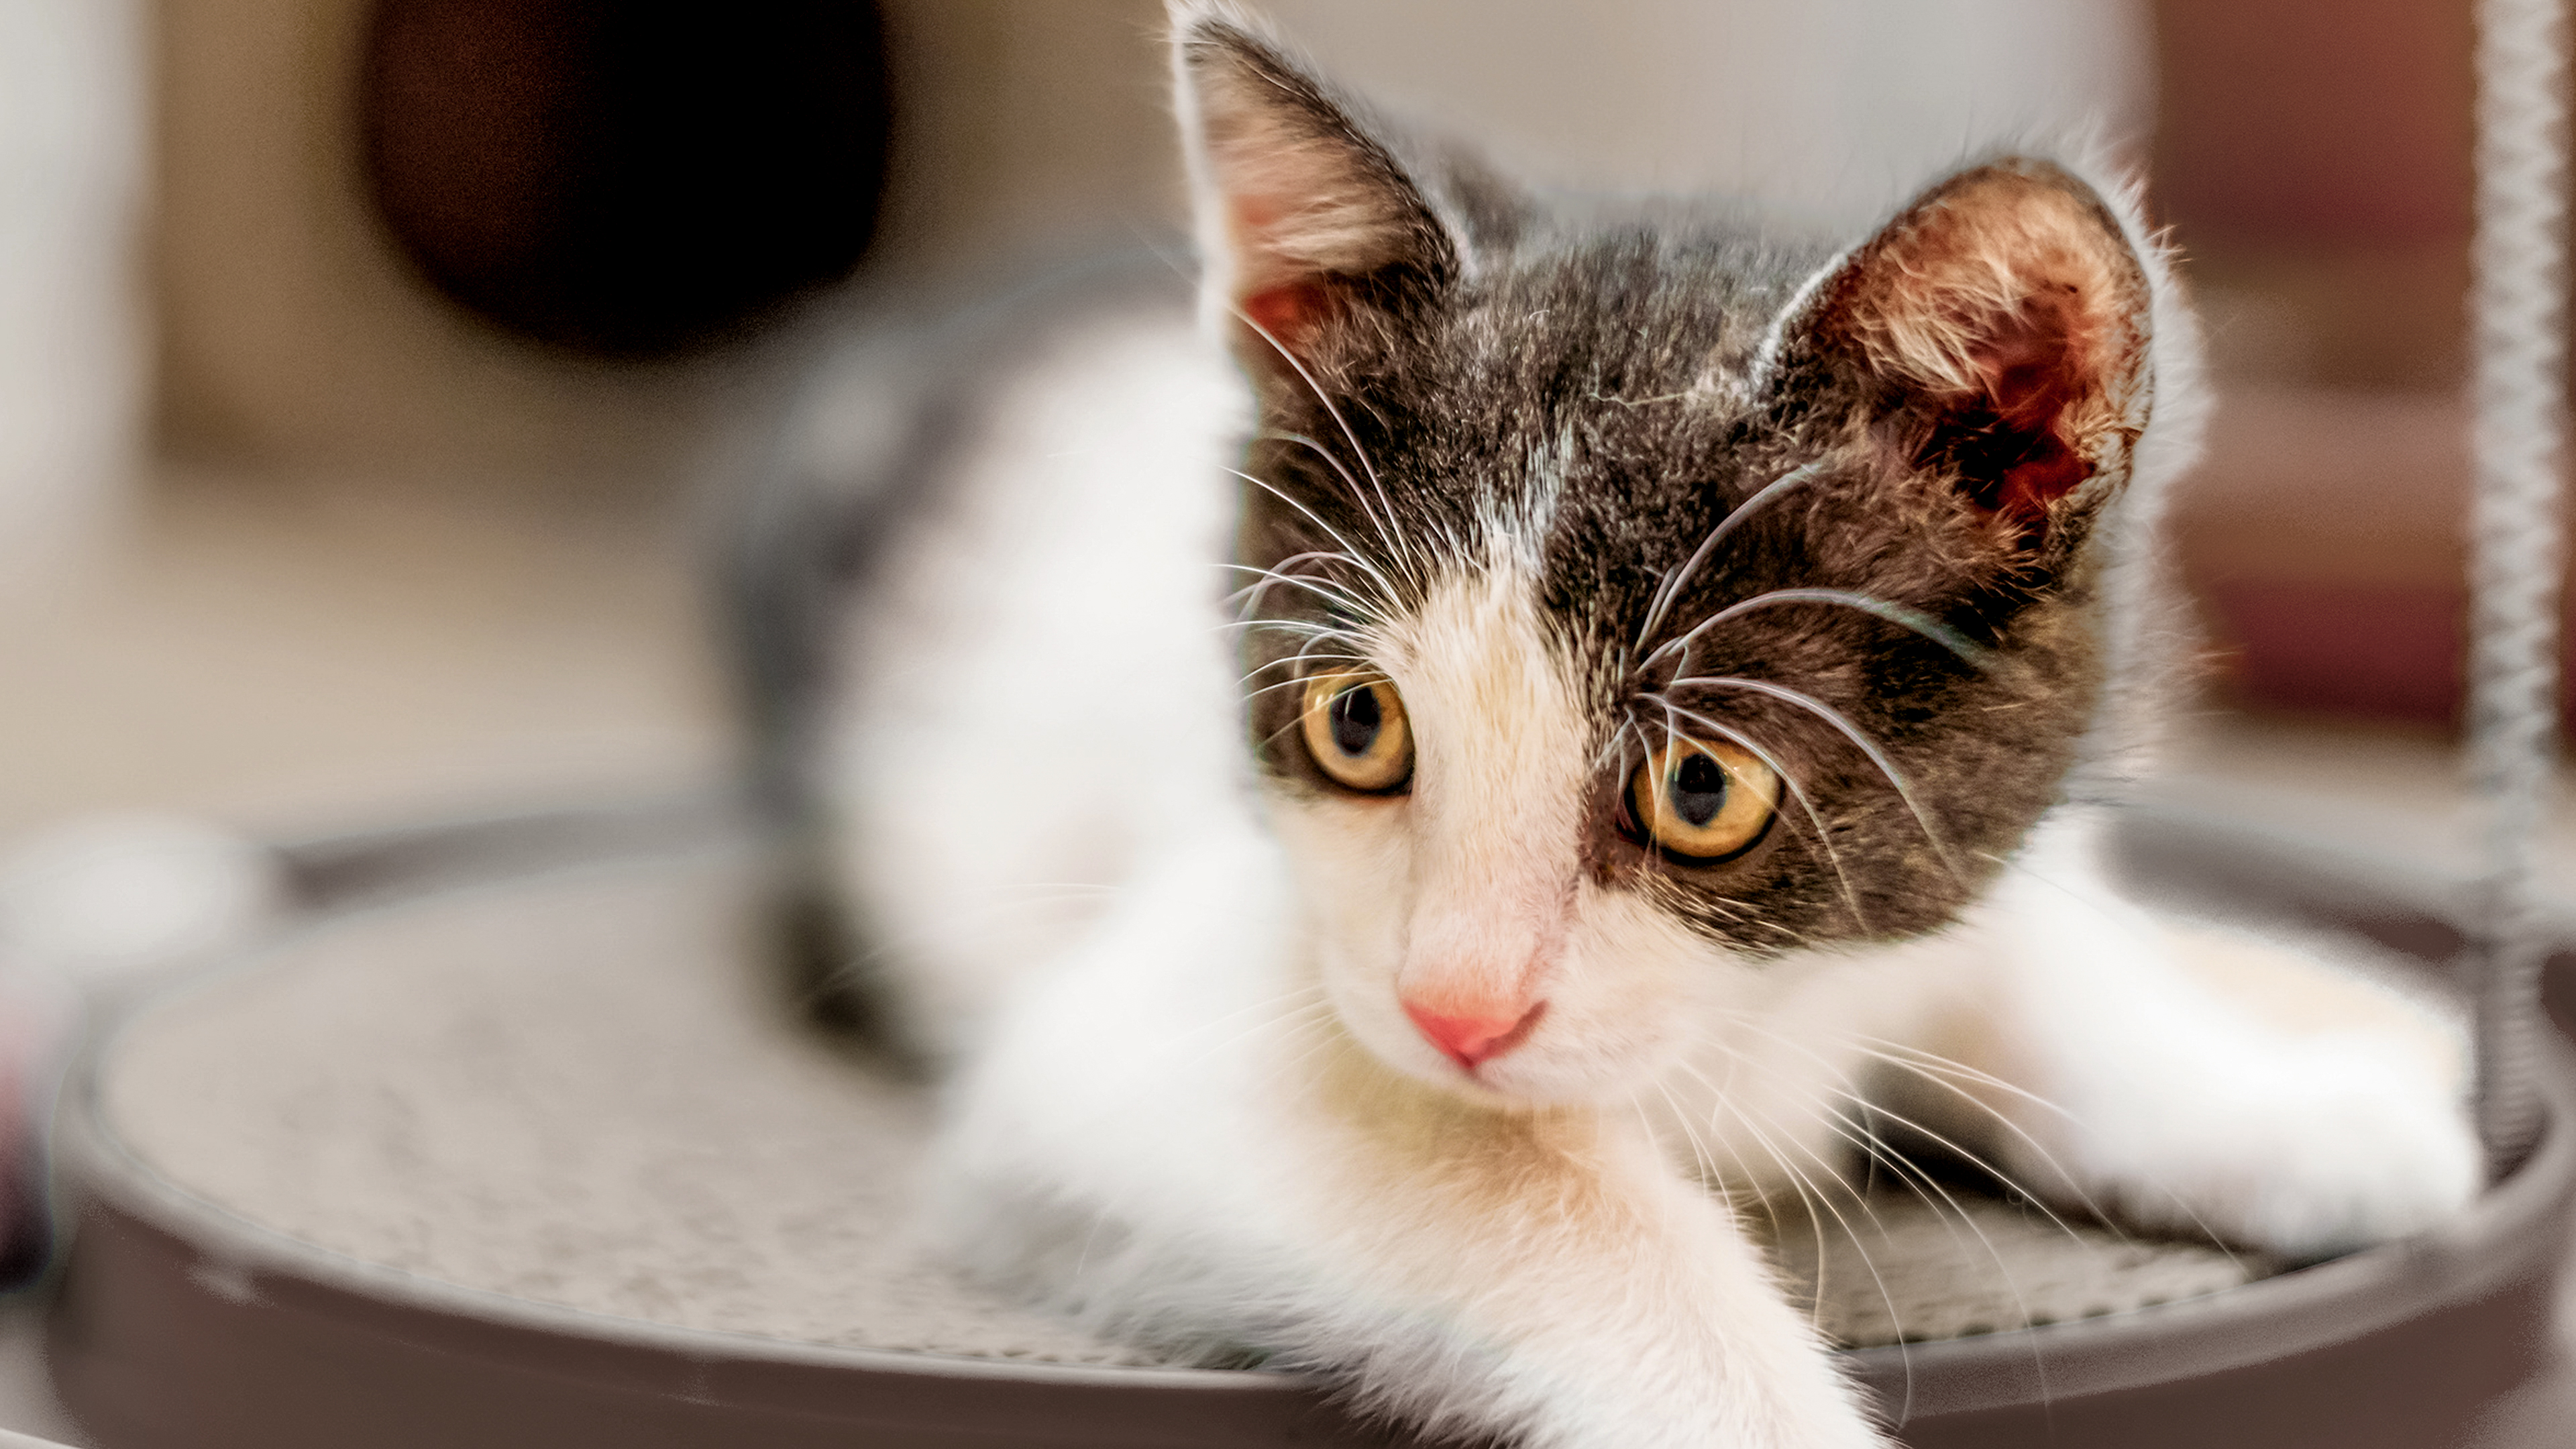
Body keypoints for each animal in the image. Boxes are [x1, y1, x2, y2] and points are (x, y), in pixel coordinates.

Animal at [773, 11, 2483, 1444]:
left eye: (1701, 789)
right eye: (1353, 721)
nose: (1455, 1010)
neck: (1759, 1019)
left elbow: (2023, 955)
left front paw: (2286, 1113)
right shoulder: (1151, 1031)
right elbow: (1549, 1200)